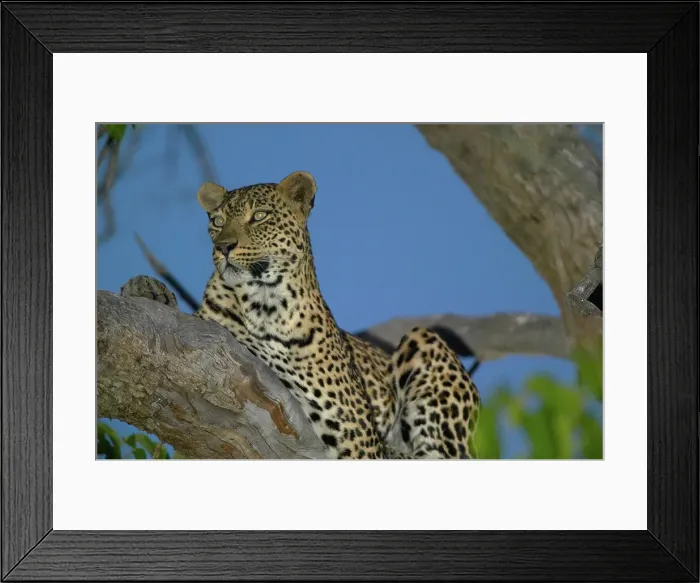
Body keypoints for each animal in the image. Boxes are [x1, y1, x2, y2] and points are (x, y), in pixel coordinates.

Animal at [120, 171, 481, 459]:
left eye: (260, 216)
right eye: (217, 222)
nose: (223, 247)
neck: (261, 300)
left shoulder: (357, 432)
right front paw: (145, 287)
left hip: (425, 341)